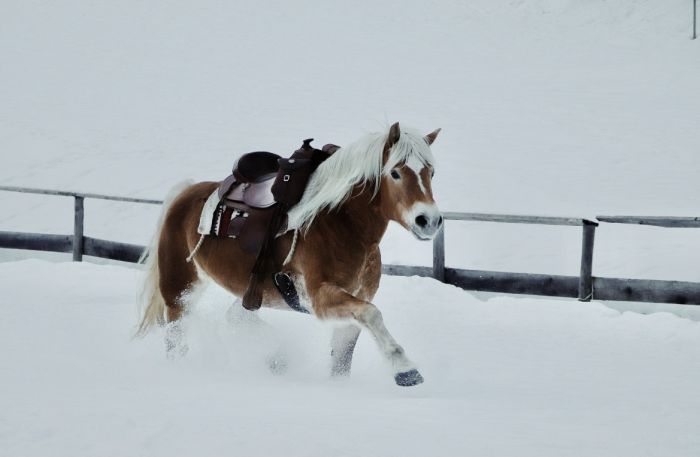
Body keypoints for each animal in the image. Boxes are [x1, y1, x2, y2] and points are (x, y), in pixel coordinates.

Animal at [137, 122, 442, 384]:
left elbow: (343, 359)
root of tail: (185, 192)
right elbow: (373, 315)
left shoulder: (353, 305)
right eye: (395, 172)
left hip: (249, 294)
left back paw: (276, 356)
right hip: (179, 291)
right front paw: (405, 369)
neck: (340, 223)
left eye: (431, 173)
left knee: (236, 317)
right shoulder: (319, 298)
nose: (428, 220)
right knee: (176, 339)